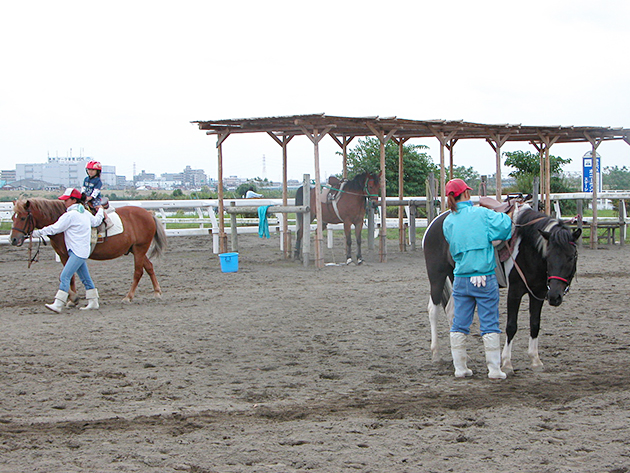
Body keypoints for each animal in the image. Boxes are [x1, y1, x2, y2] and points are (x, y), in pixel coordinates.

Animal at [10, 198, 168, 302]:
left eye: (23, 218)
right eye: (13, 217)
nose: (13, 239)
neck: (63, 220)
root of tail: (148, 213)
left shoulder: (69, 255)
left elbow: (68, 275)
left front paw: (72, 297)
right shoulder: (64, 256)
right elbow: (71, 276)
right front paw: (71, 298)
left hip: (140, 249)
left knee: (138, 272)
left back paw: (128, 297)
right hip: (136, 250)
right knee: (149, 267)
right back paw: (157, 292)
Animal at [424, 205, 584, 374]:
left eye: (571, 256)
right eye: (549, 256)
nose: (554, 296)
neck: (528, 248)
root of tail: (436, 222)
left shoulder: (538, 292)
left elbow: (535, 323)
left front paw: (535, 360)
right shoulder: (514, 291)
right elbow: (511, 325)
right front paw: (506, 363)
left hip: (456, 278)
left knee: (452, 311)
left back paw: (462, 356)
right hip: (437, 276)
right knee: (433, 310)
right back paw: (436, 354)